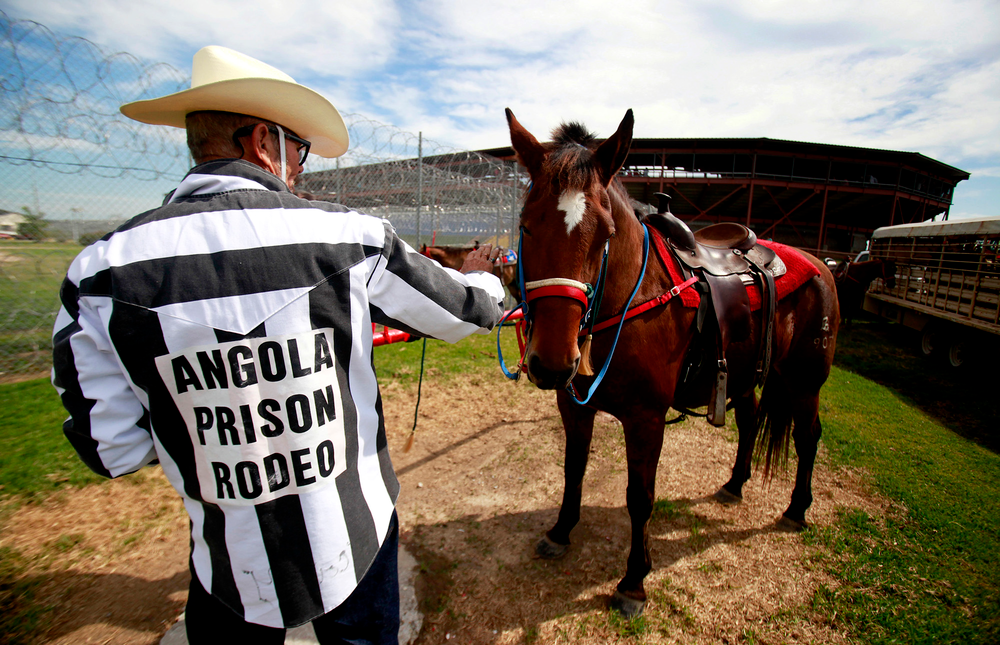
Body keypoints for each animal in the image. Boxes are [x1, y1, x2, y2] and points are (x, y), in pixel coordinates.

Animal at [504, 108, 840, 616]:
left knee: (807, 437)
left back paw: (797, 508)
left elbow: (640, 497)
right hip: (744, 377)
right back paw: (735, 484)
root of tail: (821, 265)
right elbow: (572, 470)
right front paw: (561, 532)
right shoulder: (575, 407)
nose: (554, 363)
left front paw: (633, 582)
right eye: (525, 225)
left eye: (605, 234)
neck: (632, 298)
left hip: (805, 380)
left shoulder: (646, 419)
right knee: (749, 422)